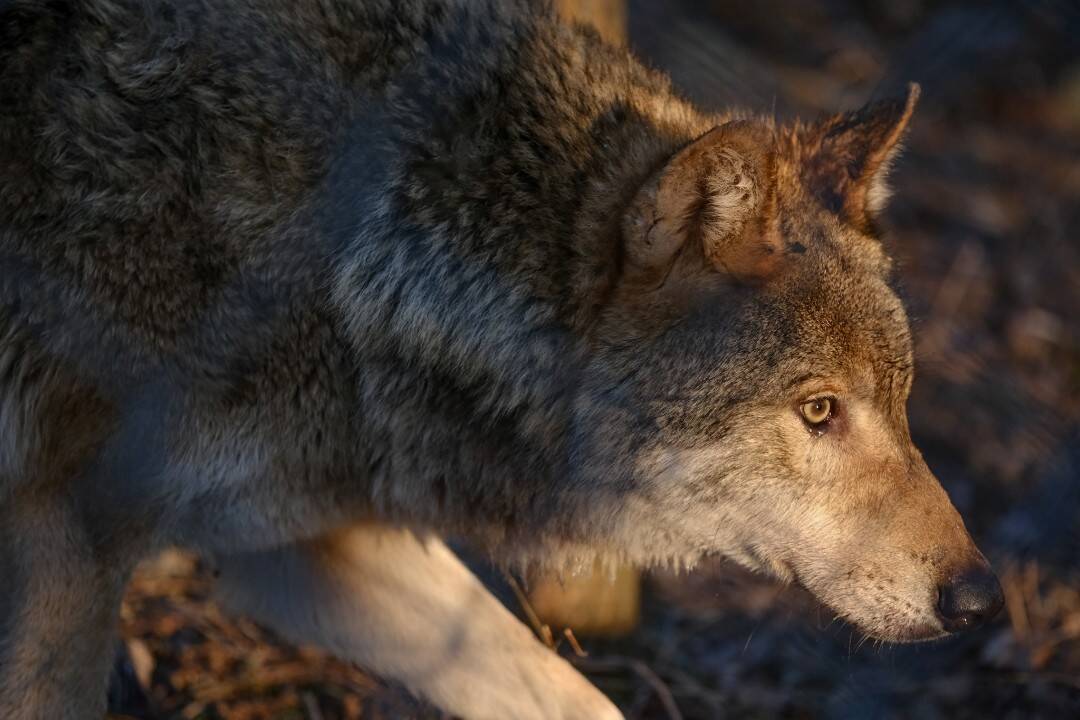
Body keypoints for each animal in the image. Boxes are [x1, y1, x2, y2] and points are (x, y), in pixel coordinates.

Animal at [0, 0, 1002, 716]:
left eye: (901, 400)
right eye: (819, 410)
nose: (981, 600)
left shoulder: (293, 543)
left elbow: (574, 700)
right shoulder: (67, 543)